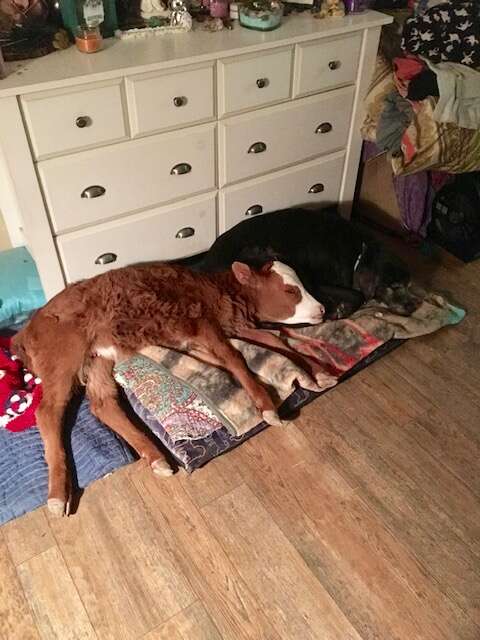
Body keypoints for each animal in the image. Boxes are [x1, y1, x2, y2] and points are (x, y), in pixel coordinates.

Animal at [189, 208, 414, 318]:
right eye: (394, 286)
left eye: (408, 285)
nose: (413, 306)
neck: (359, 252)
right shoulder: (315, 281)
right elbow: (357, 294)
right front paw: (341, 309)